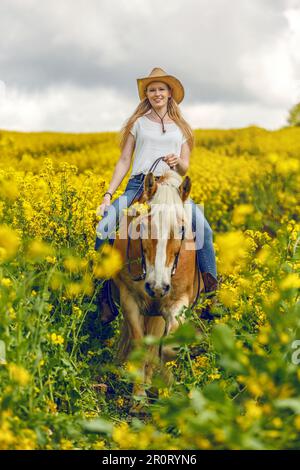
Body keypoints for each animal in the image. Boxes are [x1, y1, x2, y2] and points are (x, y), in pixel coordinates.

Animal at [111, 169, 203, 408]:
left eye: (182, 229)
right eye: (143, 226)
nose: (158, 287)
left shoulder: (178, 303)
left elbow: (167, 349)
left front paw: (165, 387)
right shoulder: (130, 300)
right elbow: (141, 347)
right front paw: (138, 397)